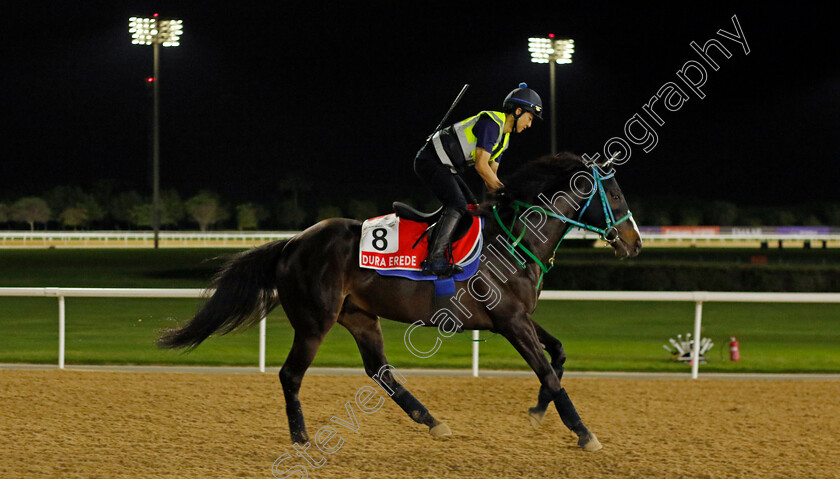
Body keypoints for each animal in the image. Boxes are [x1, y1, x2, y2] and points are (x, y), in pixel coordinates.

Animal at [159, 154, 644, 454]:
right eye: (617, 196)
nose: (634, 244)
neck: (515, 238)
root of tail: (292, 243)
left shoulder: (519, 317)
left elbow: (557, 354)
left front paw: (538, 411)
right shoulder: (510, 320)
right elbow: (548, 371)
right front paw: (583, 432)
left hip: (360, 317)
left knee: (380, 371)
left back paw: (431, 421)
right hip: (315, 321)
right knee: (291, 374)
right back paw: (301, 438)